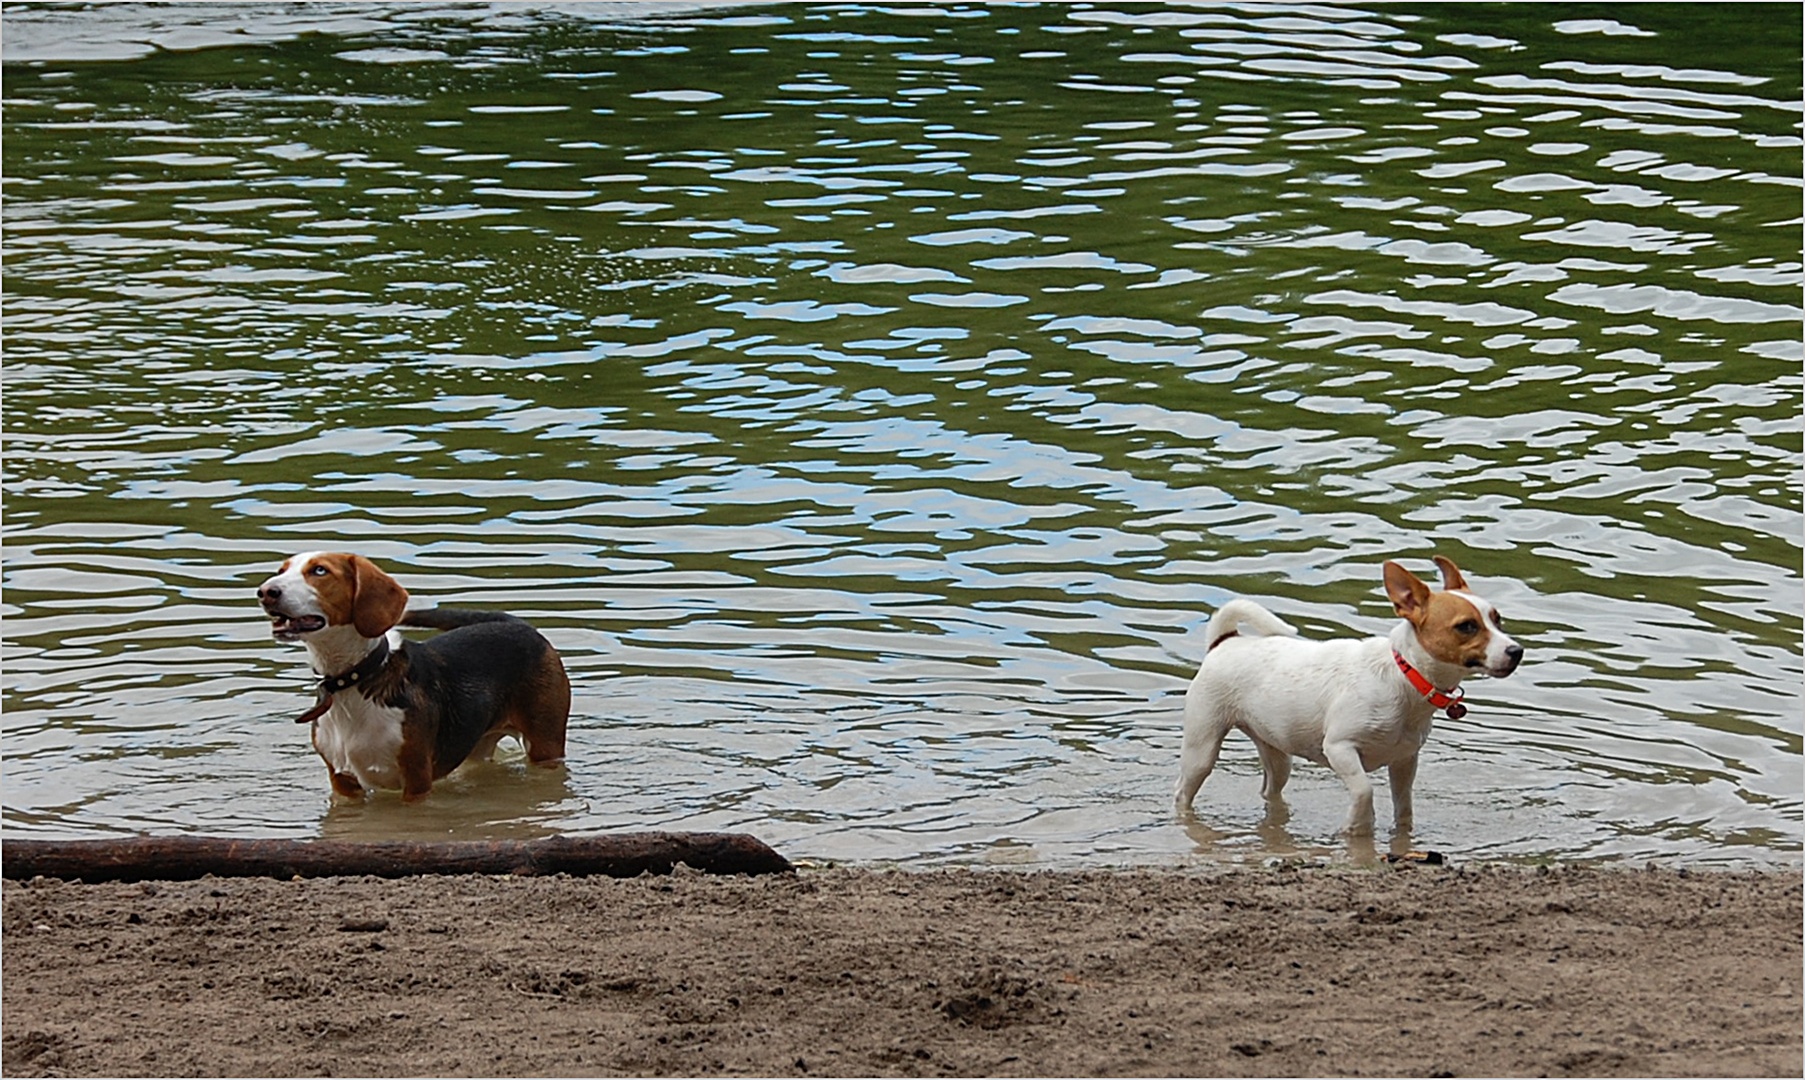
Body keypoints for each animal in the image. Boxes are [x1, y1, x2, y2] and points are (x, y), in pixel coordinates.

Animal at [1169, 559, 1523, 837]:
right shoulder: (1340, 748)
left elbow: (1404, 807)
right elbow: (1364, 790)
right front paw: (1356, 828)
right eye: (1466, 626)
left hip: (1277, 753)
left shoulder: (1405, 762)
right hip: (1202, 749)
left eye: (1497, 619)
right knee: (1183, 791)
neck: (1404, 676)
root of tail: (1226, 641)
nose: (1517, 651)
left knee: (1271, 789)